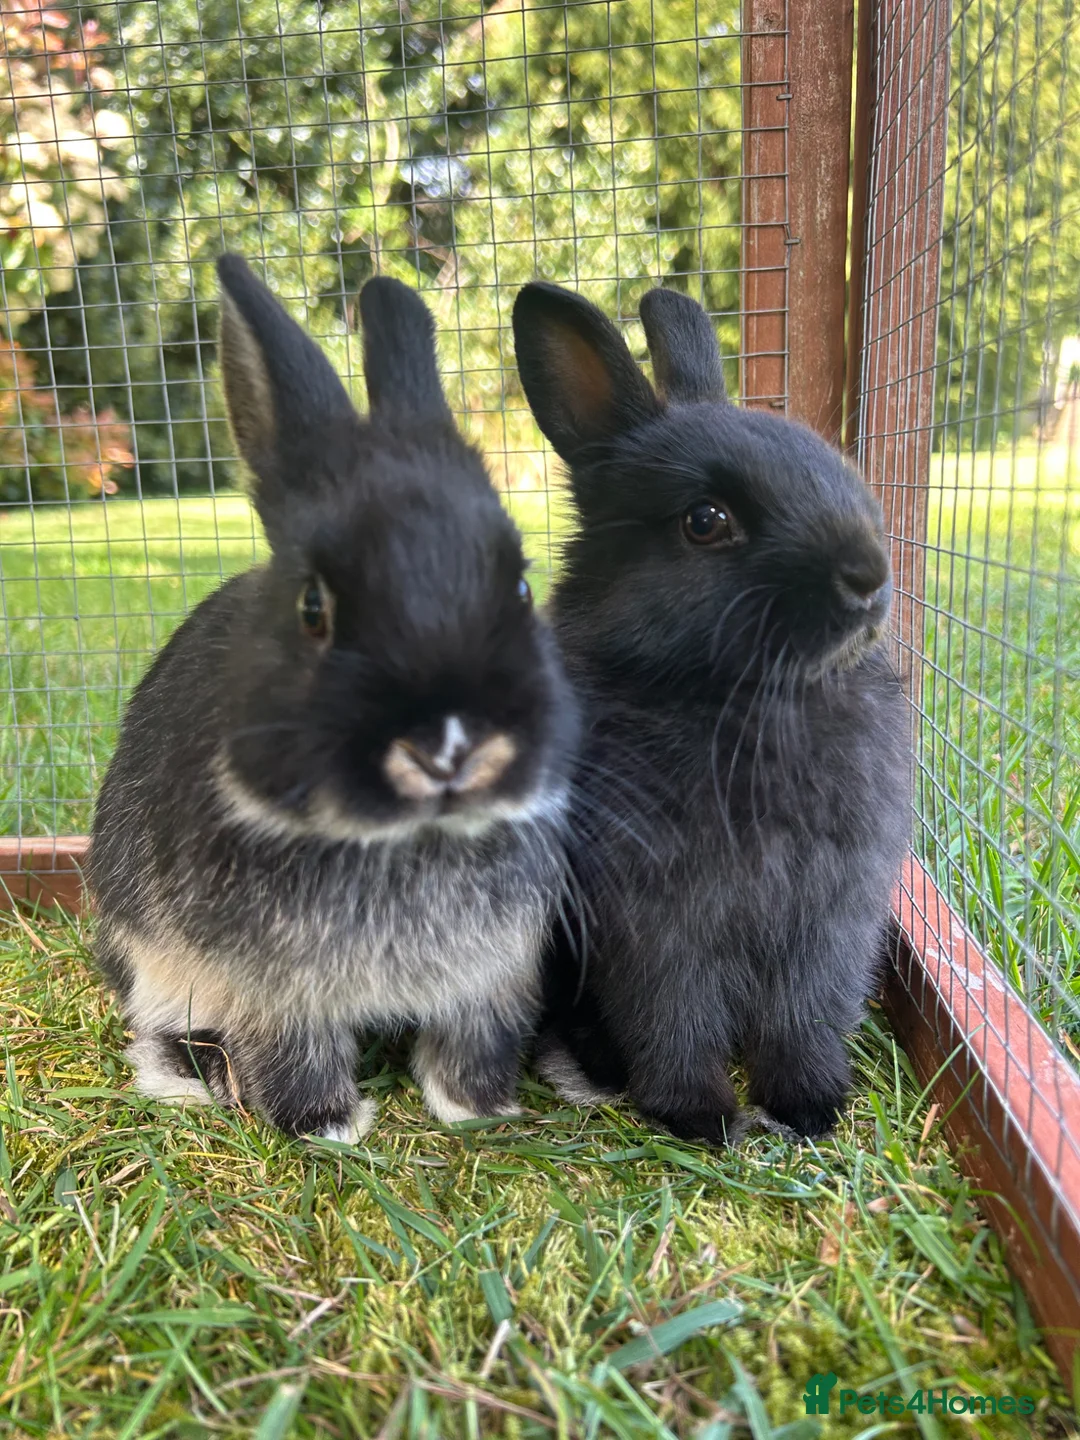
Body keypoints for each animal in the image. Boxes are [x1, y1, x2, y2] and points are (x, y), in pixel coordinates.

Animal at [87, 255, 578, 1143]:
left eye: (522, 587)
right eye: (314, 607)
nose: (448, 745)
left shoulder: (495, 976)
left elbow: (471, 1043)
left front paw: (474, 1109)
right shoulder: (270, 987)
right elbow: (291, 1051)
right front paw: (329, 1126)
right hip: (149, 951)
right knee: (153, 1022)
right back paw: (196, 1077)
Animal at [512, 281, 910, 1143]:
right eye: (705, 521)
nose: (869, 578)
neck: (746, 701)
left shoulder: (830, 917)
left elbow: (804, 1015)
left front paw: (809, 1106)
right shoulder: (656, 924)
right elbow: (673, 1015)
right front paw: (699, 1116)